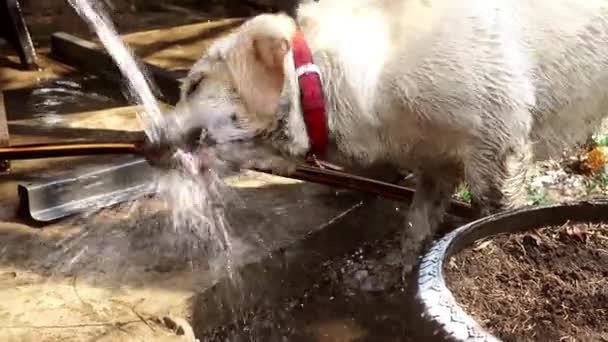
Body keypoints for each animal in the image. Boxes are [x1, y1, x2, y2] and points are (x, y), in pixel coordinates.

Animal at [160, 0, 608, 272]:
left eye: (195, 83)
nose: (150, 140)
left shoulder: (498, 135)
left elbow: (493, 211)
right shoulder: (435, 156)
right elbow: (417, 219)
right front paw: (388, 268)